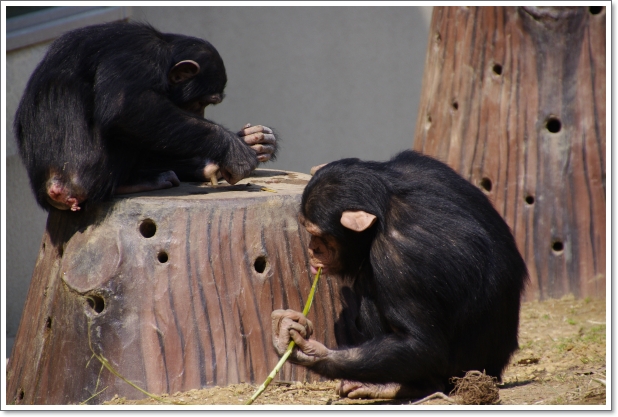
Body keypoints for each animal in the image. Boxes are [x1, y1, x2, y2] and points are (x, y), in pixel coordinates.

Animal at [12, 20, 276, 211]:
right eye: (202, 102)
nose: (200, 113)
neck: (165, 49)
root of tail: (51, 191)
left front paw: (257, 140)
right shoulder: (141, 52)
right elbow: (126, 106)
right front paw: (235, 149)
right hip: (84, 178)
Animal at [270, 150, 524, 400]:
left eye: (320, 236)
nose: (313, 248)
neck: (385, 202)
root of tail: (493, 374)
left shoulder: (399, 254)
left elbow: (420, 344)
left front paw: (309, 351)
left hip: (459, 374)